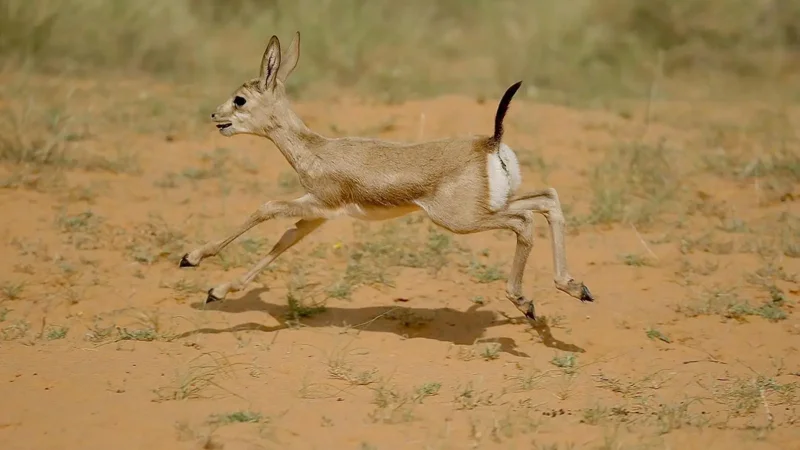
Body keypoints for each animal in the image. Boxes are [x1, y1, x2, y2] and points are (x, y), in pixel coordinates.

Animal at [179, 31, 594, 320]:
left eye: (240, 100)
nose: (216, 116)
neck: (314, 150)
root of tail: (490, 141)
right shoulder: (317, 216)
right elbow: (283, 242)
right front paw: (217, 291)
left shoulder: (318, 203)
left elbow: (264, 209)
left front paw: (192, 258)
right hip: (495, 204)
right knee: (548, 200)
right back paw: (573, 288)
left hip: (465, 219)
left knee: (524, 222)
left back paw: (525, 301)